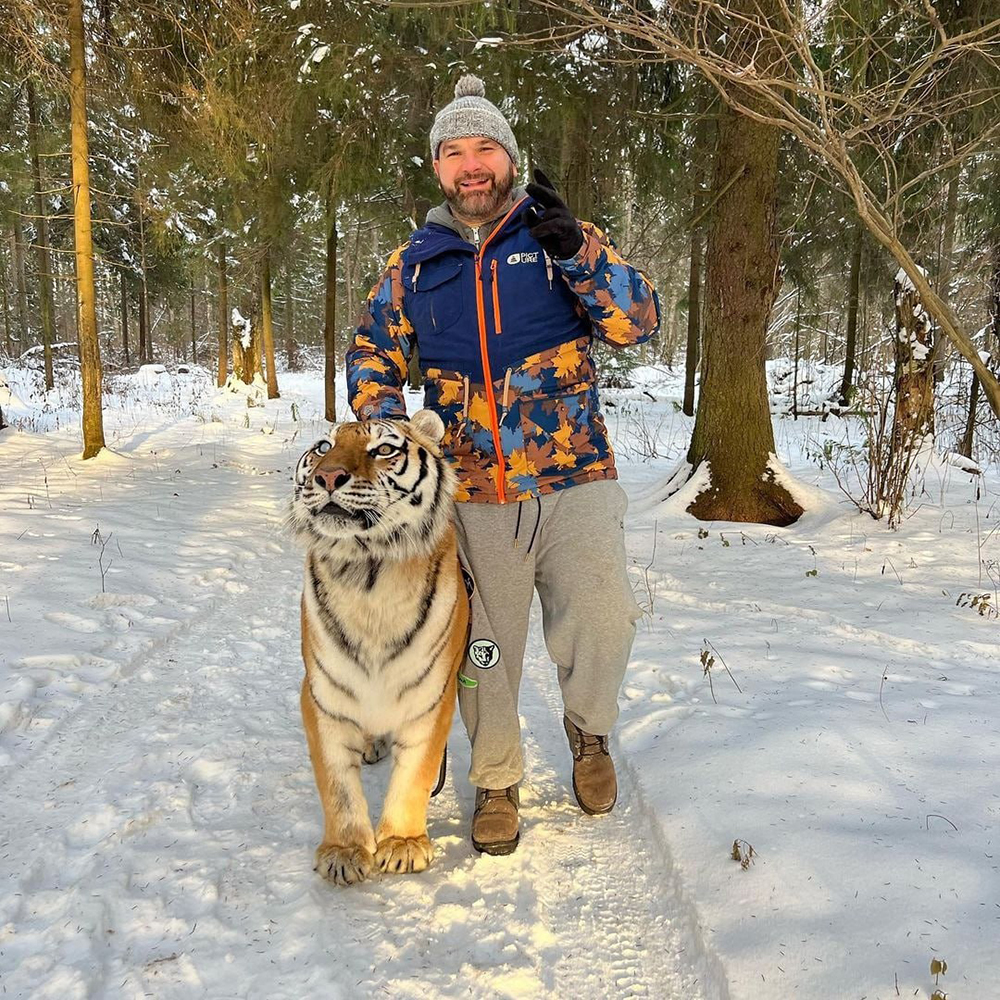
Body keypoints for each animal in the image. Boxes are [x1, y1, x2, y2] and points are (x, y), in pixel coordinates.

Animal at [288, 410, 470, 888]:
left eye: (384, 449)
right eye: (323, 447)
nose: (328, 475)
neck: (367, 573)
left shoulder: (432, 696)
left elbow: (415, 773)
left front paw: (403, 844)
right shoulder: (323, 696)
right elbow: (337, 784)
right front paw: (345, 852)